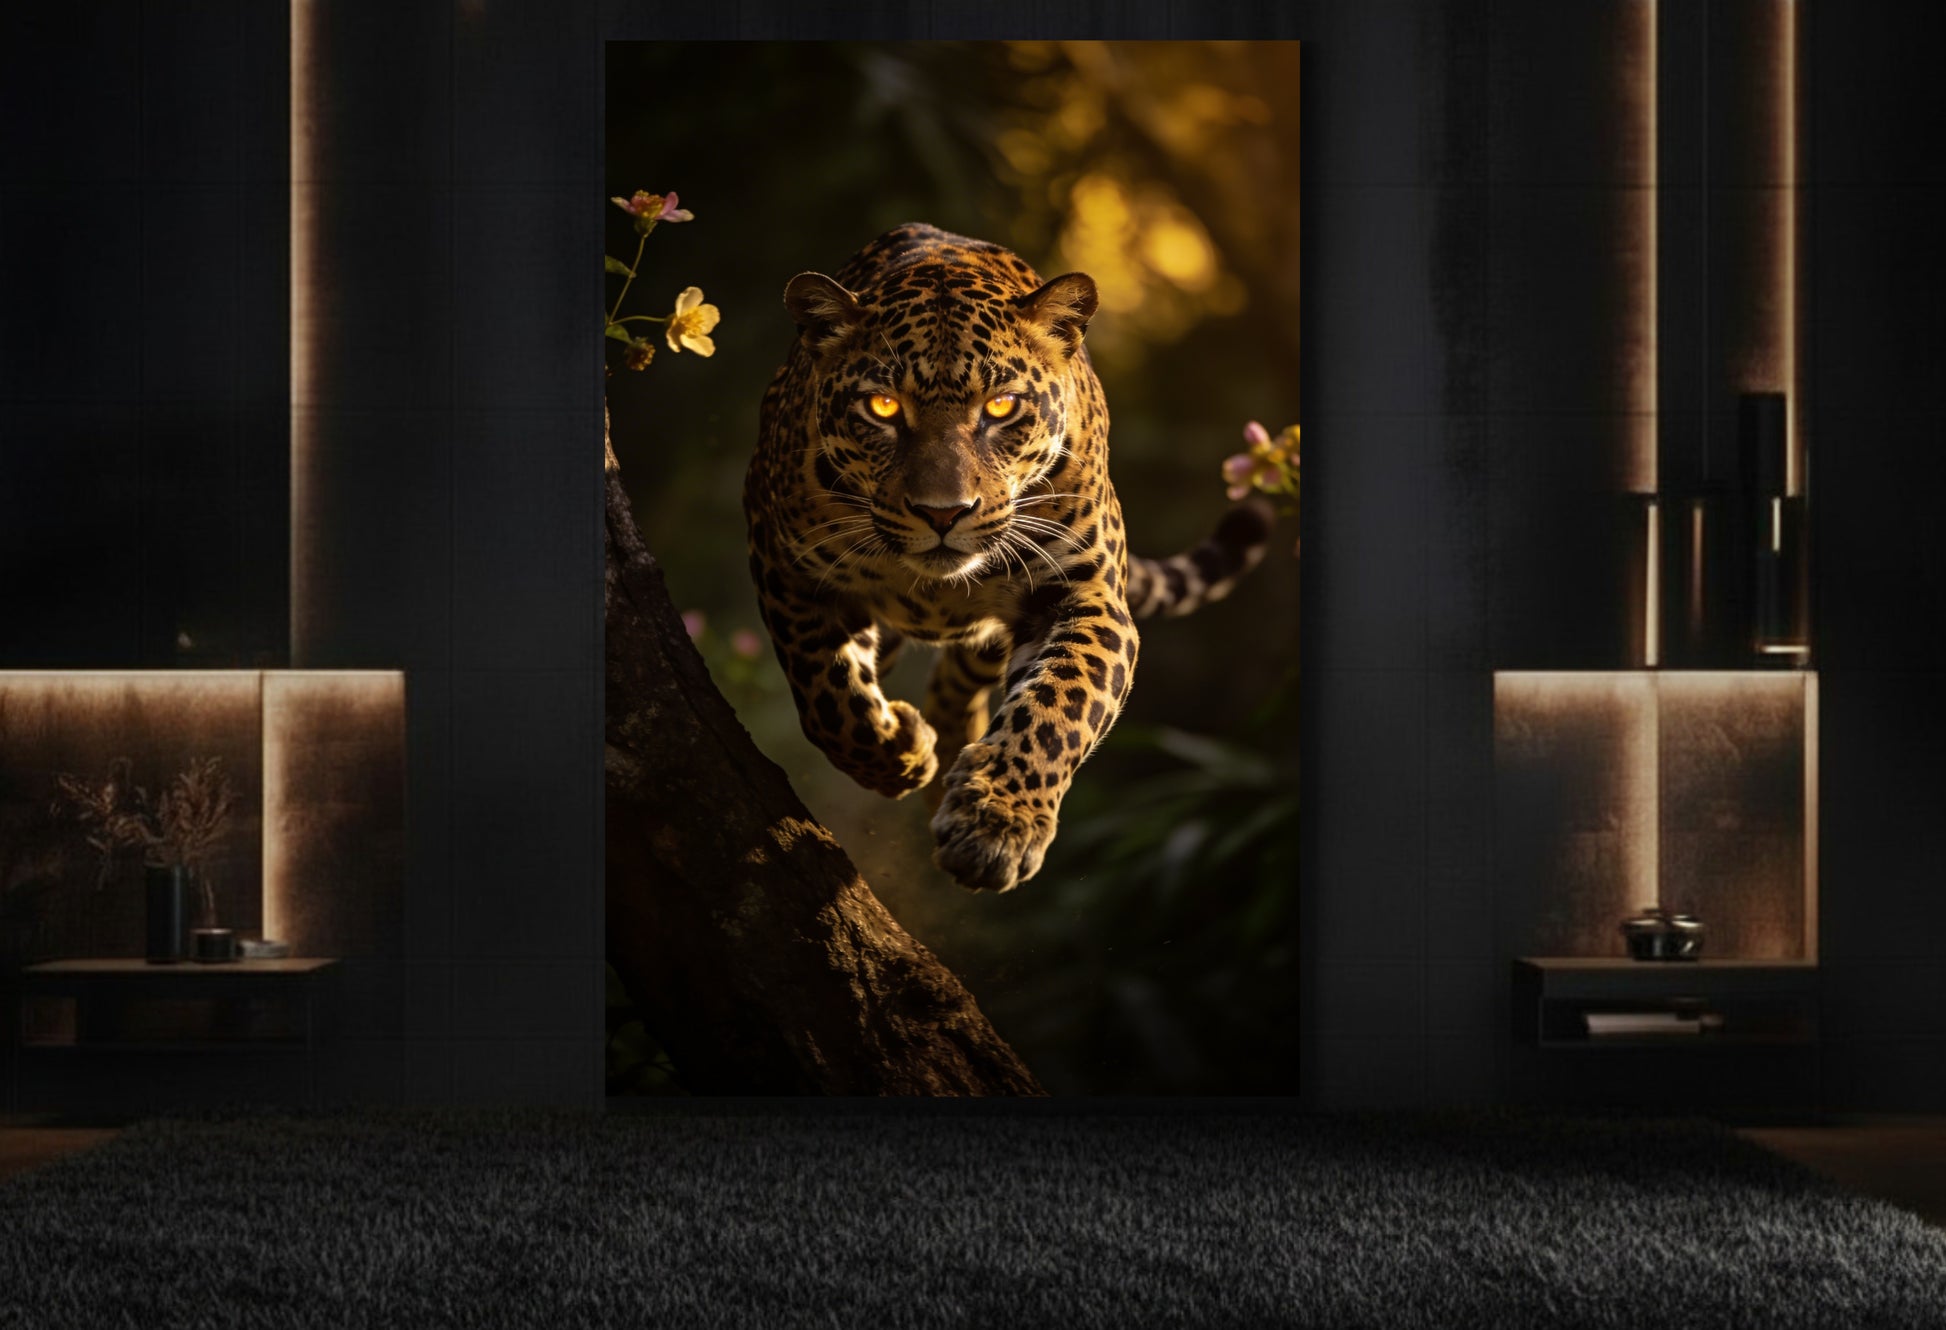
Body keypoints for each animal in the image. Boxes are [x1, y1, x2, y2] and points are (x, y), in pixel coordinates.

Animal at [744, 223, 1273, 894]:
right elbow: (827, 692)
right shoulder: (785, 563)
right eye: (882, 407)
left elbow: (1062, 705)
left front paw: (997, 824)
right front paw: (897, 753)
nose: (943, 512)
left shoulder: (1084, 594)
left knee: (960, 674)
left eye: (1001, 407)